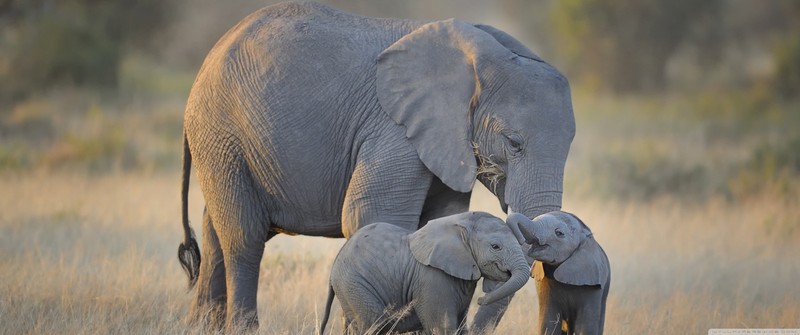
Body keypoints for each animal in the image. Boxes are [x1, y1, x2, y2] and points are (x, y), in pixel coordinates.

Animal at [318, 214, 532, 334]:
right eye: (496, 246)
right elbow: (443, 327)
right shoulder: (432, 279)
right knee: (373, 324)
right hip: (354, 285)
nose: (481, 300)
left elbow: (460, 327)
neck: (460, 223)